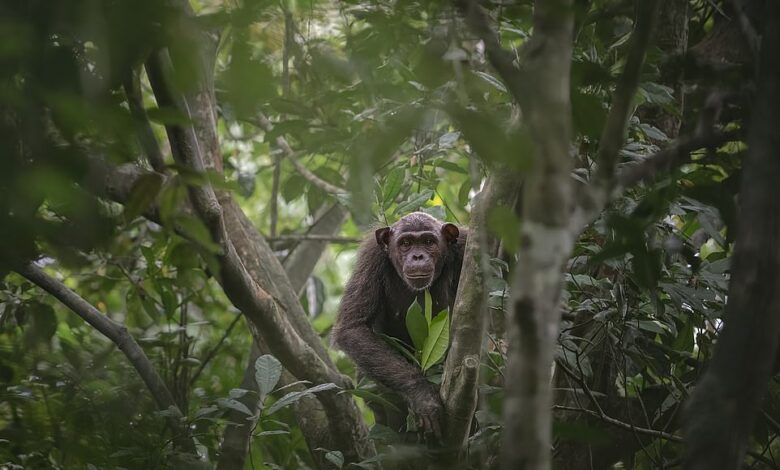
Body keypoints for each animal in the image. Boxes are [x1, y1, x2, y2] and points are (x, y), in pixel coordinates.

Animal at [332, 213, 466, 440]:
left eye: (428, 242)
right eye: (405, 243)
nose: (418, 256)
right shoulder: (372, 256)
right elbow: (353, 326)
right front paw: (422, 395)